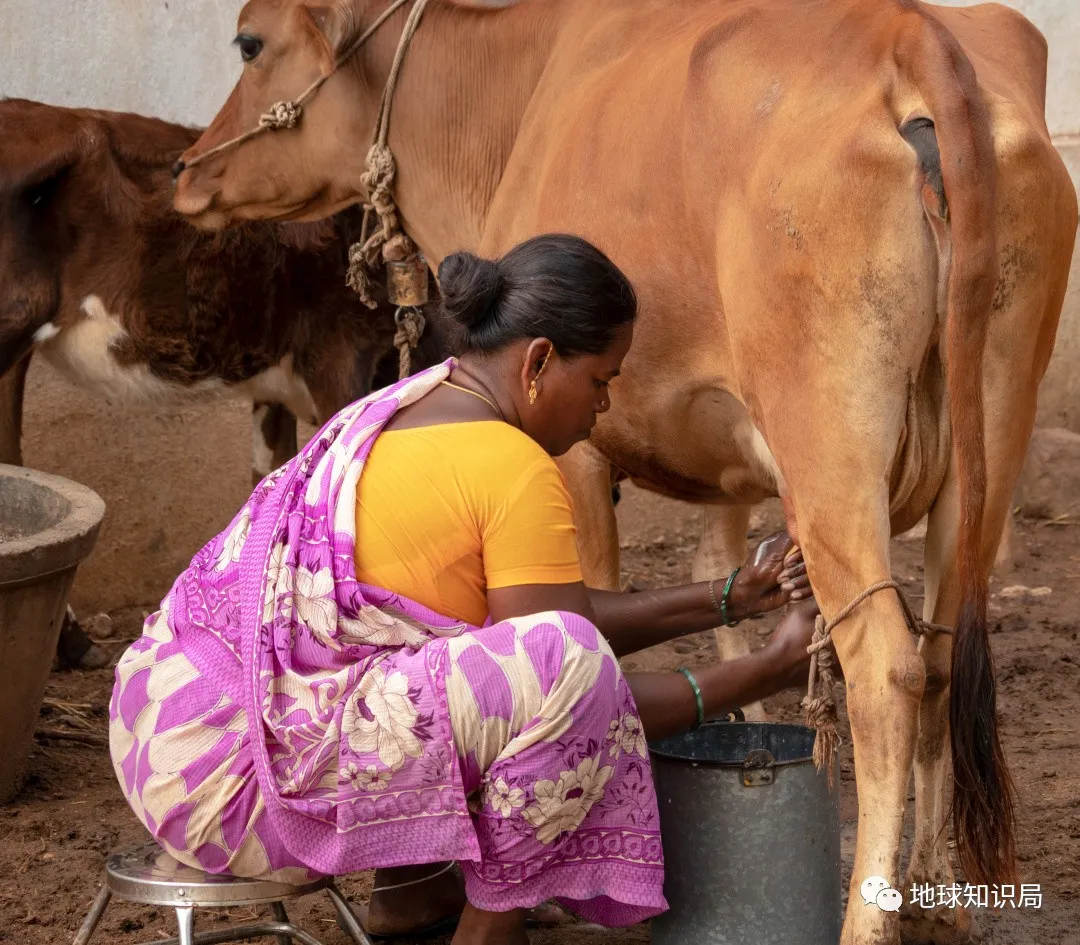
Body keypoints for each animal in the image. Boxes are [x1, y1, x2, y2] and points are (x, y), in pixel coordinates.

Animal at [172, 3, 1075, 941]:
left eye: (249, 41)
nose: (184, 171)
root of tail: (910, 35)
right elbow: (714, 569)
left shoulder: (574, 448)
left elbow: (601, 608)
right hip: (987, 444)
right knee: (942, 656)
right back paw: (940, 896)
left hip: (829, 444)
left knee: (889, 669)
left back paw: (870, 917)